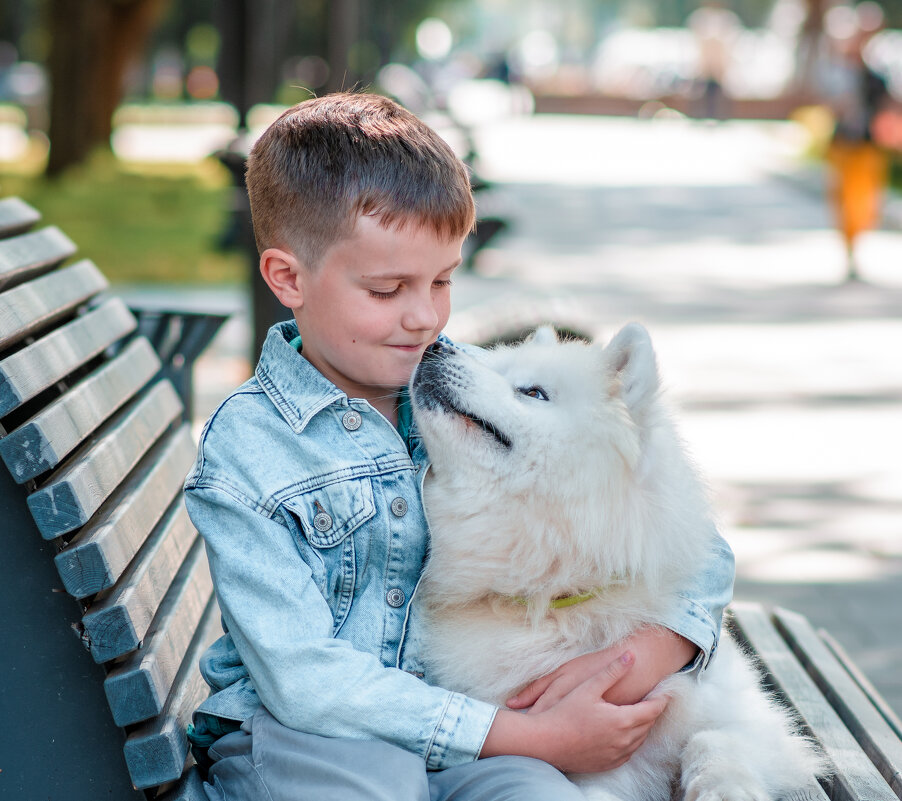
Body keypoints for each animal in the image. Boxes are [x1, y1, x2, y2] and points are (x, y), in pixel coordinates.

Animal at [410, 324, 828, 800]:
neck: (555, 596)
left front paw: (723, 789)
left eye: (533, 392)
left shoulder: (753, 722)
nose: (434, 347)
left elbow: (714, 738)